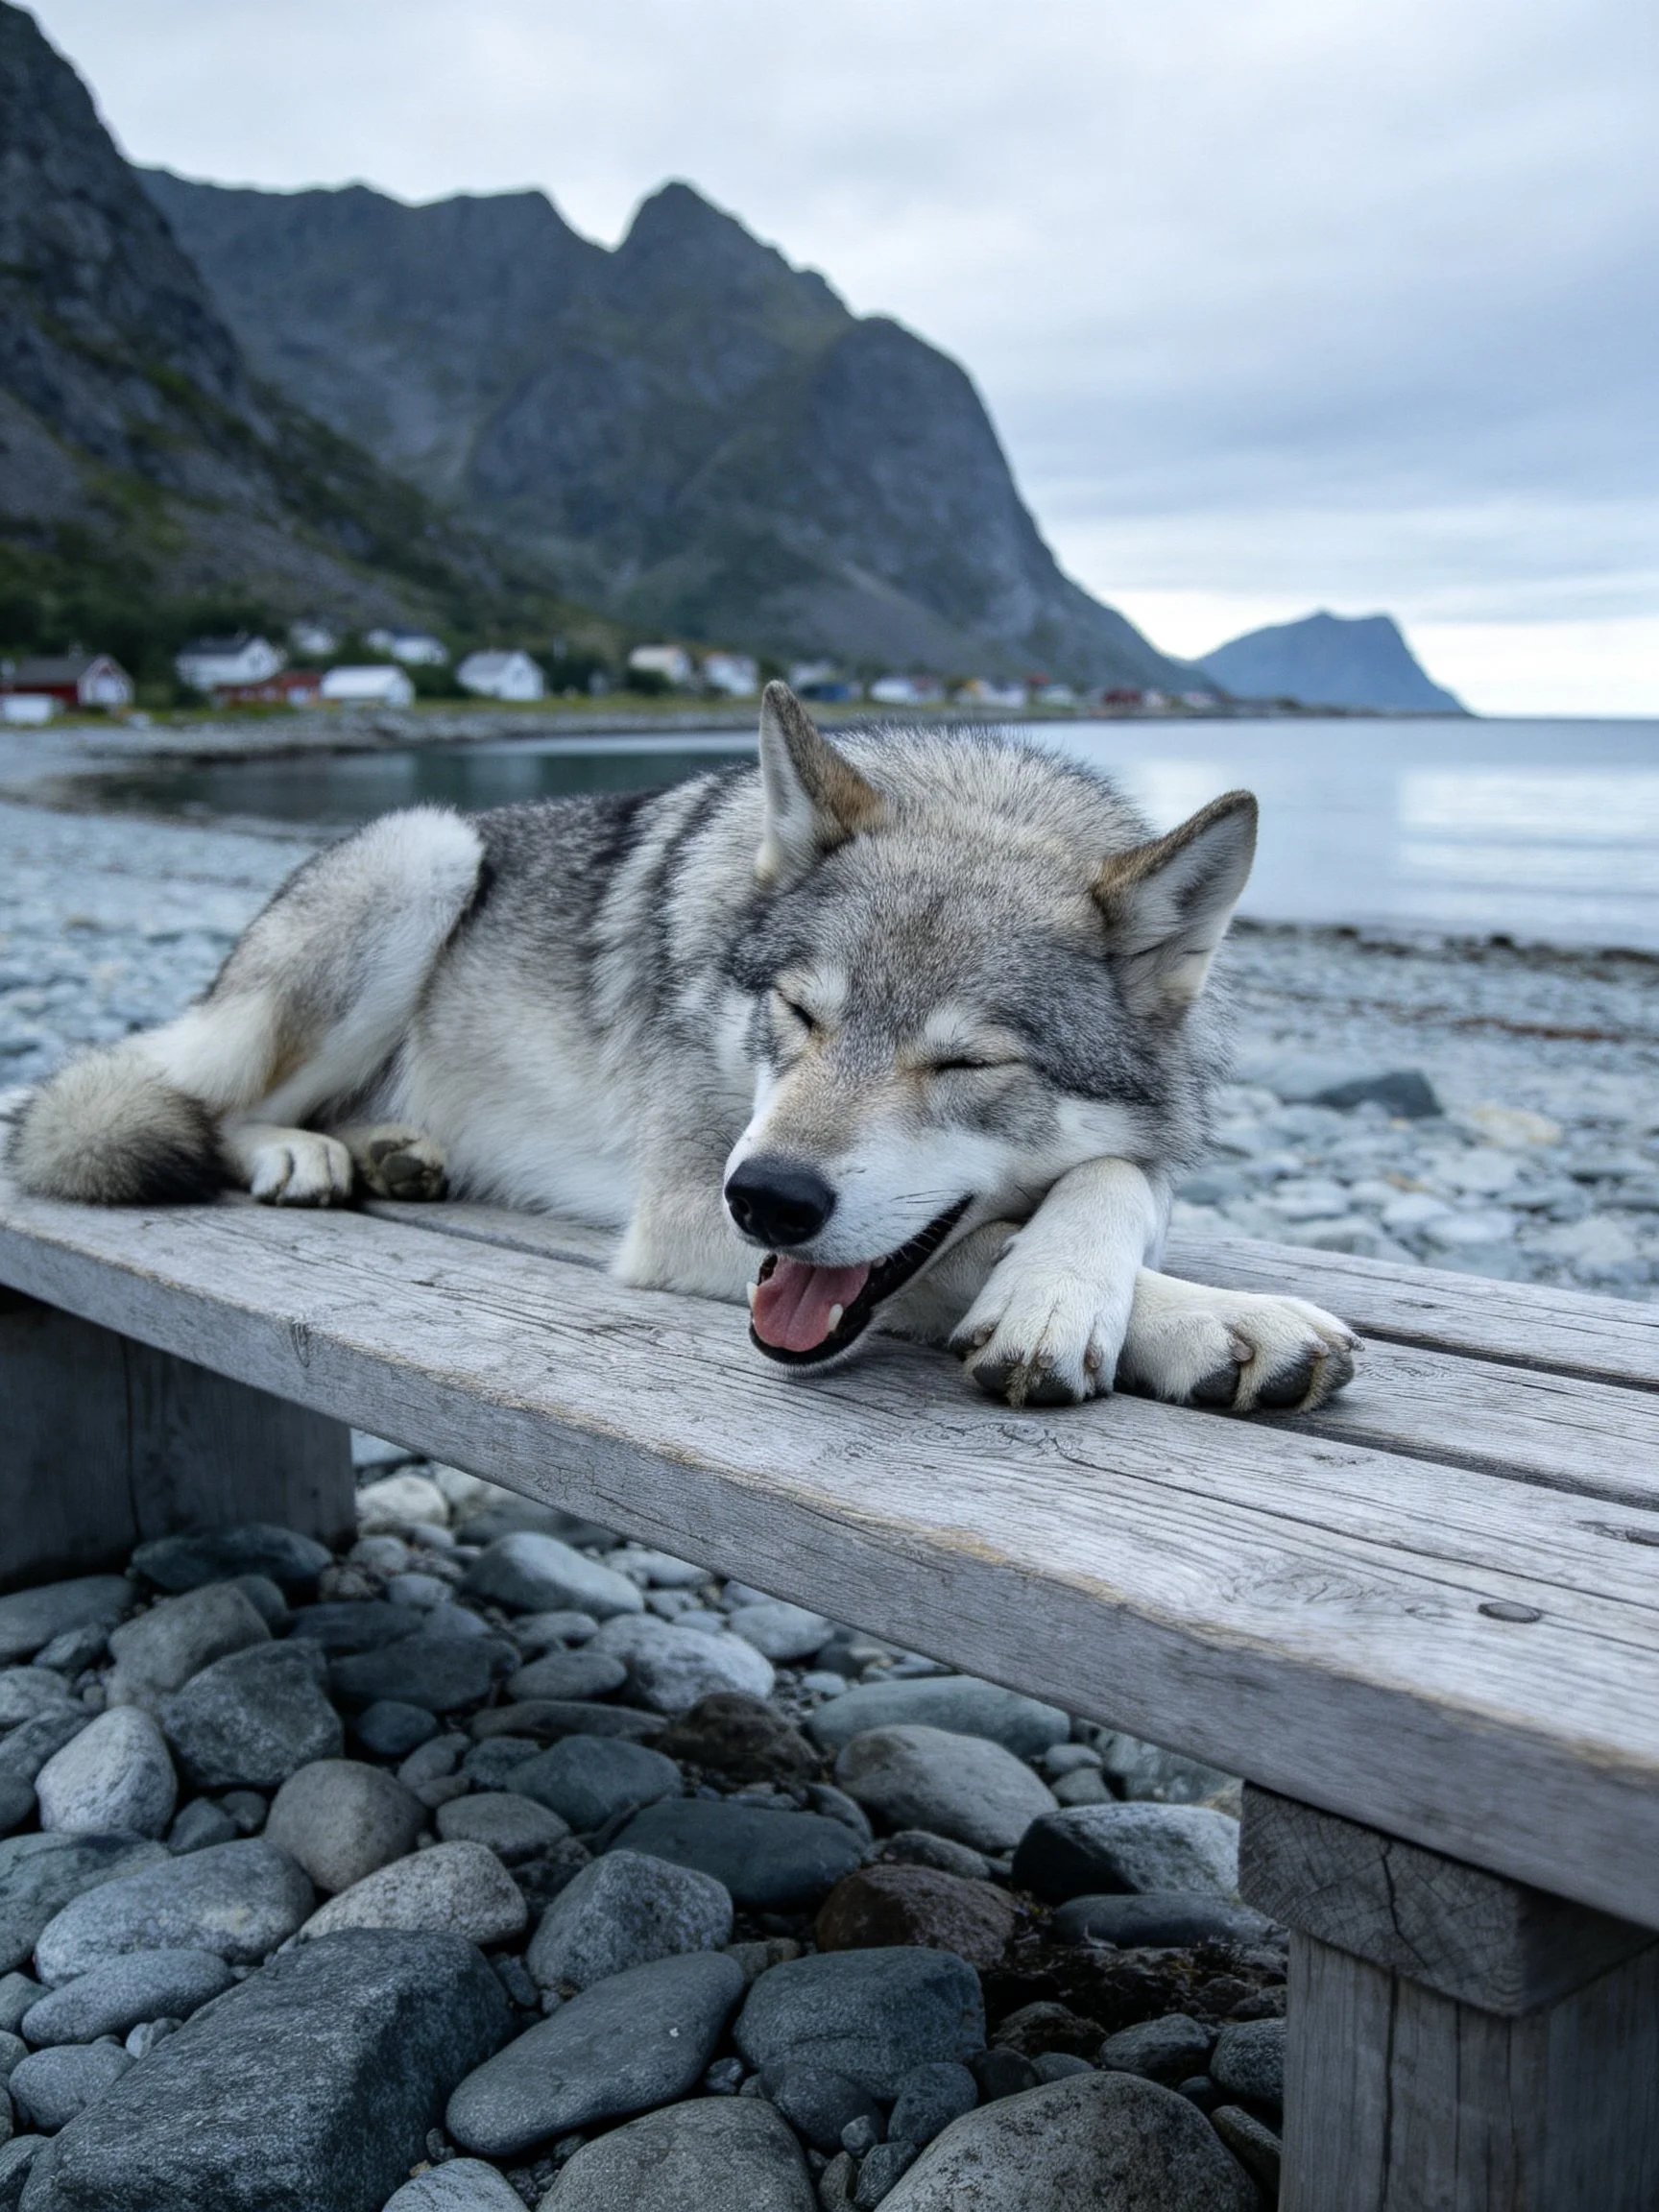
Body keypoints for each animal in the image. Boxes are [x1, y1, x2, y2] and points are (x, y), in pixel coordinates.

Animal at [8, 683, 1356, 1412]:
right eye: (801, 1019)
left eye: (967, 1067)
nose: (769, 1200)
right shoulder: (681, 1208)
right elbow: (979, 1247)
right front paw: (1173, 1316)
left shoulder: (1137, 1155)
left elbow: (1117, 1177)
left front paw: (1119, 1293)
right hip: (425, 856)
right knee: (197, 1099)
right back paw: (303, 1155)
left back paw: (392, 1148)